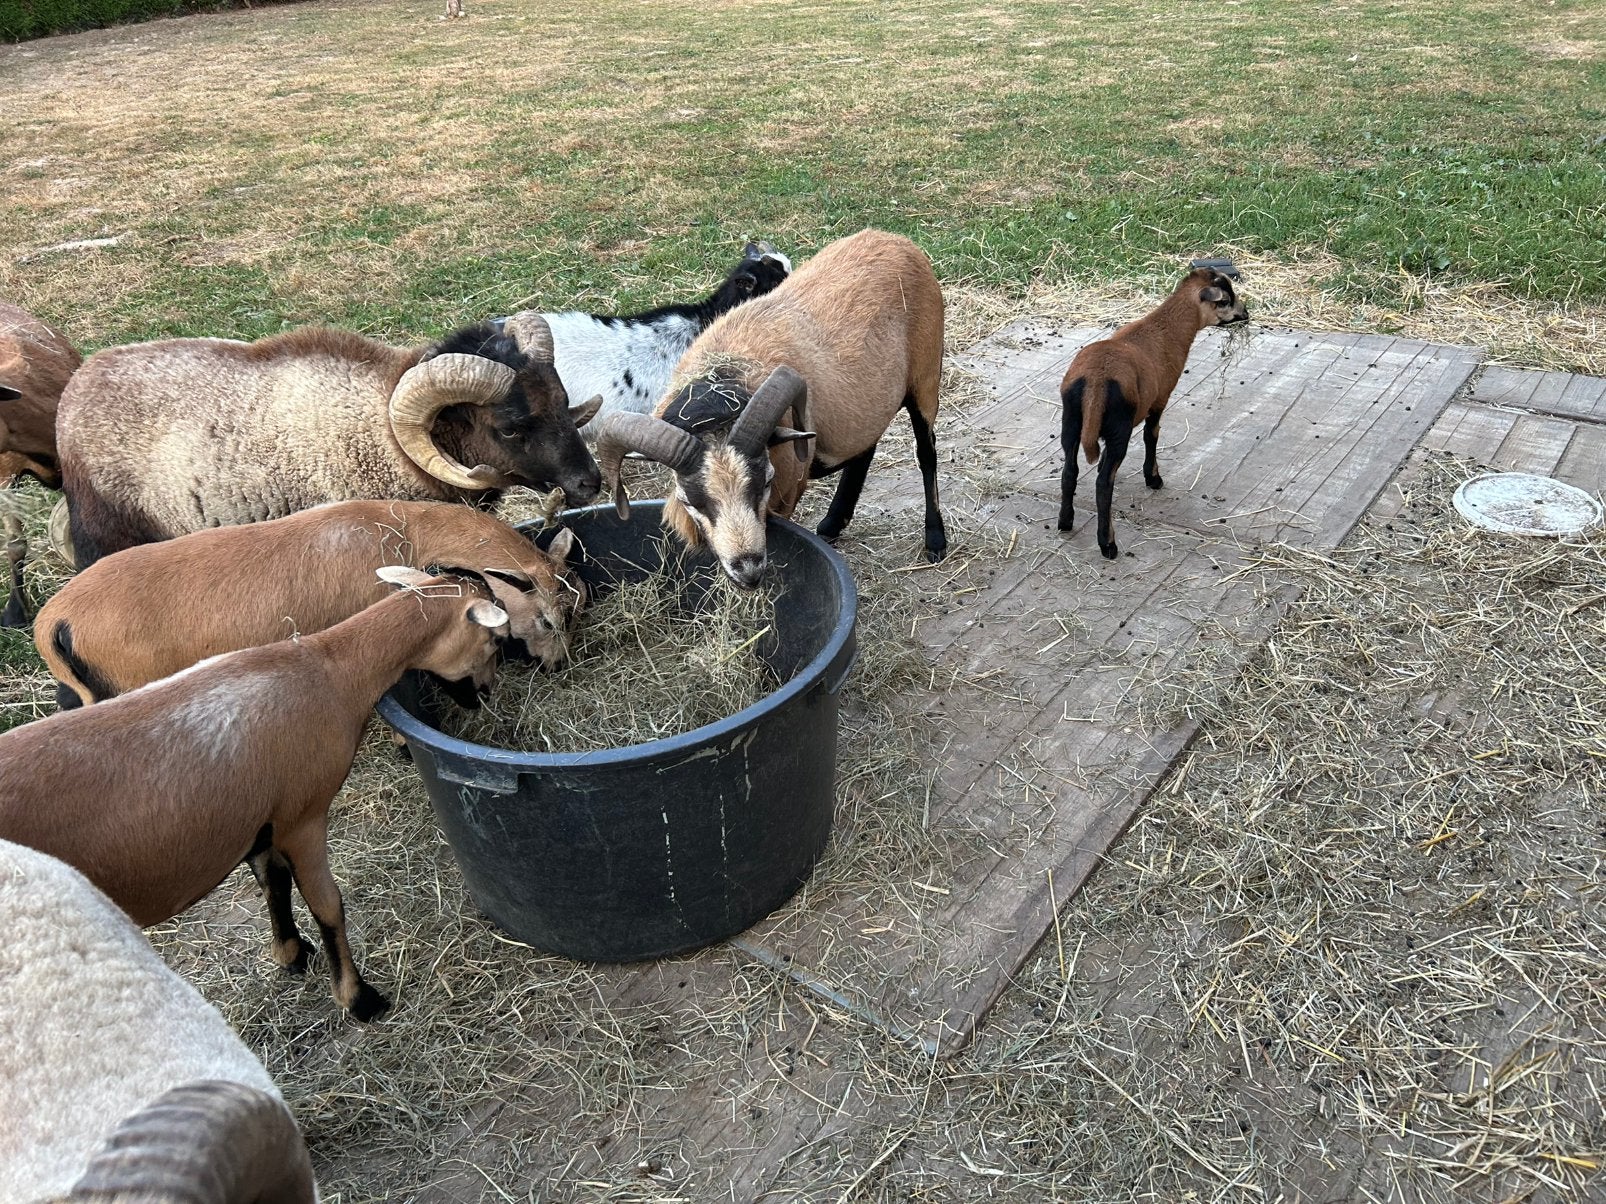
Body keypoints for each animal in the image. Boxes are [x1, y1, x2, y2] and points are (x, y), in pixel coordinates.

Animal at [0, 569, 511, 1021]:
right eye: (494, 642)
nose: (486, 694)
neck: (332, 668)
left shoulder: (260, 819)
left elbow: (273, 883)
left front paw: (290, 954)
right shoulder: (302, 818)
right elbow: (328, 906)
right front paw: (358, 999)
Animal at [56, 320, 603, 568]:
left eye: (562, 400)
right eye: (509, 428)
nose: (590, 483)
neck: (384, 439)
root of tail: (75, 388)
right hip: (108, 537)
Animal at [594, 229, 947, 588]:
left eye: (764, 482)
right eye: (690, 500)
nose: (748, 570)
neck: (721, 379)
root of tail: (893, 238)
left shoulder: (788, 489)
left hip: (925, 375)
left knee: (926, 452)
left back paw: (935, 540)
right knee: (865, 447)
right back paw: (832, 524)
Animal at [1057, 265, 1249, 559]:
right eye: (1226, 300)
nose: (1246, 314)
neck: (1167, 328)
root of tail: (1096, 381)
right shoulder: (1160, 399)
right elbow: (1152, 435)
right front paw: (1154, 478)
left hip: (1071, 420)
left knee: (1070, 472)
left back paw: (1065, 522)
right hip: (1119, 427)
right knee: (1103, 484)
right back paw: (1108, 543)